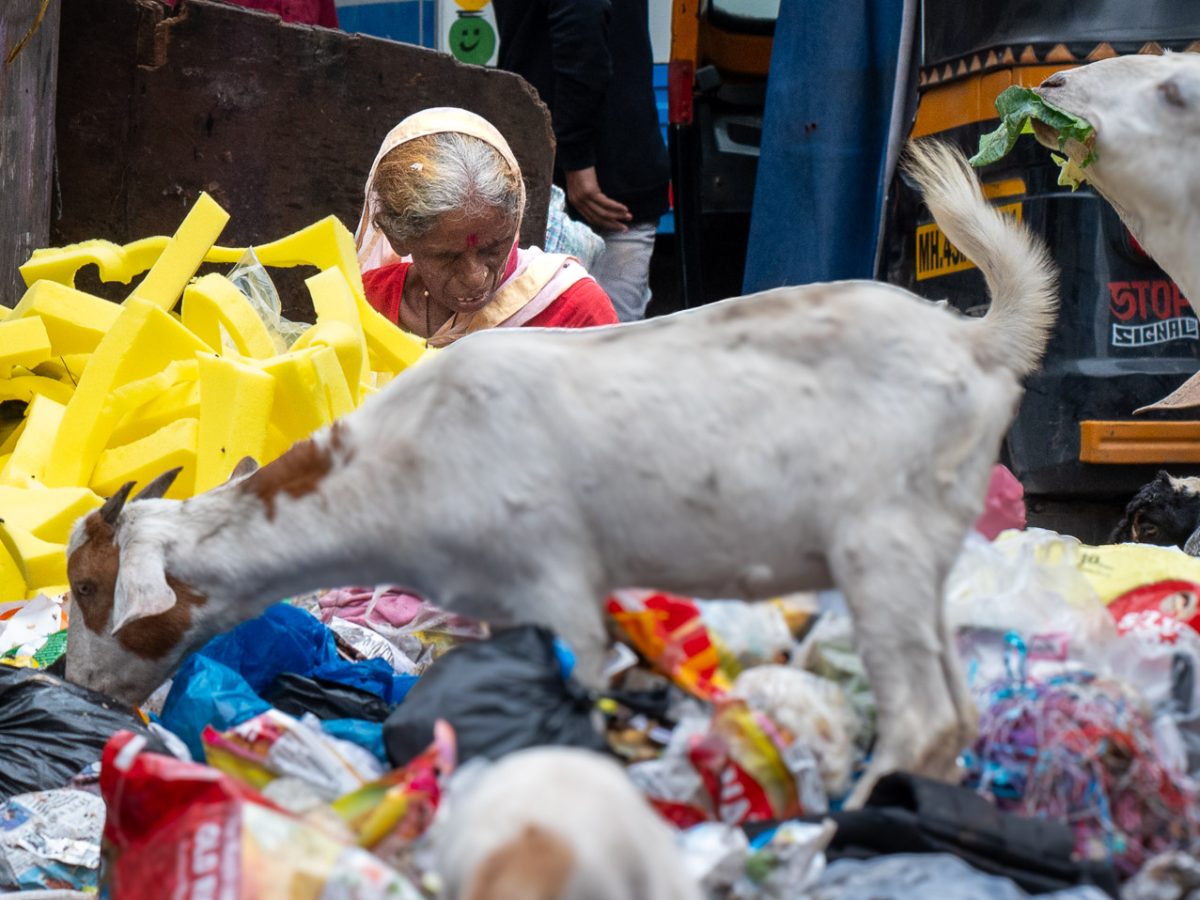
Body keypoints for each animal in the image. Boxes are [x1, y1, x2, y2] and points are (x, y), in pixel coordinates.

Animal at [68, 142, 1060, 811]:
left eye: (87, 586)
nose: (82, 691)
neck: (406, 461)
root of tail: (973, 339)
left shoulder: (558, 581)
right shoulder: (501, 602)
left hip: (879, 544)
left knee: (925, 716)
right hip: (924, 551)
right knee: (956, 711)